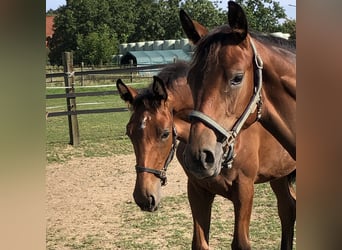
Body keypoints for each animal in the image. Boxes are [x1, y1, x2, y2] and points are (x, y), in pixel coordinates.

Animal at [116, 61, 296, 249]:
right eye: (129, 133)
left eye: (165, 133)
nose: (144, 197)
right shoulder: (197, 190)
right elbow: (200, 243)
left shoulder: (244, 189)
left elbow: (241, 242)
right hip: (278, 175)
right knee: (288, 208)